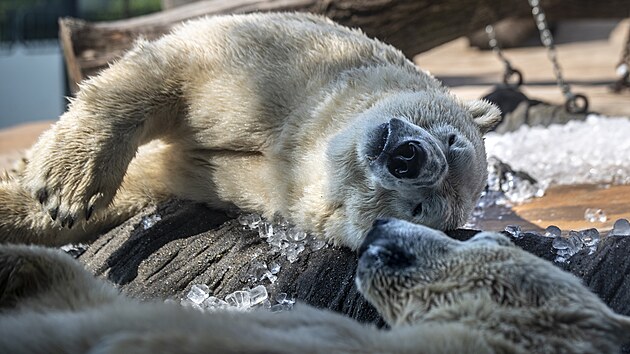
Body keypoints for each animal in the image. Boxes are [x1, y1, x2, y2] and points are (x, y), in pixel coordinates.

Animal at [1, 11, 504, 249]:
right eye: (452, 140)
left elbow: (149, 182)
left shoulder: (242, 182)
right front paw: (68, 182)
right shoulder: (283, 69)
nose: (409, 156)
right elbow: (173, 72)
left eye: (419, 210)